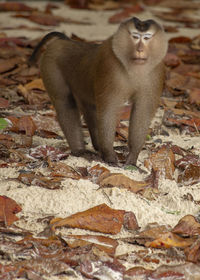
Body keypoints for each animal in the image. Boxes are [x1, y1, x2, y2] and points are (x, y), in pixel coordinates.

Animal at [29, 17, 167, 166]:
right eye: (135, 37)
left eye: (146, 37)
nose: (140, 49)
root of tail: (64, 41)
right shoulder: (110, 67)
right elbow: (108, 111)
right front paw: (110, 156)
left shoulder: (156, 72)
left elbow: (142, 112)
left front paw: (132, 157)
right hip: (50, 65)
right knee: (64, 102)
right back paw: (80, 151)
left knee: (89, 107)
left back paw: (97, 146)